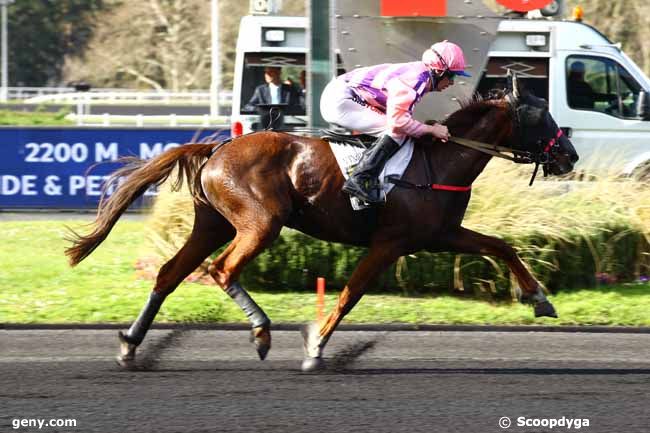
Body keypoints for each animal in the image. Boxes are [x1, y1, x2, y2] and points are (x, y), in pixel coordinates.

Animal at [66, 82, 576, 372]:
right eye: (541, 116)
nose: (569, 155)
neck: (440, 159)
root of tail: (215, 150)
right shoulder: (391, 242)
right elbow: (350, 294)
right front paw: (315, 348)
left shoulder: (439, 234)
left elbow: (501, 245)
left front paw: (540, 299)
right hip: (260, 223)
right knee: (222, 270)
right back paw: (261, 331)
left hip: (212, 224)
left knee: (170, 273)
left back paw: (131, 346)